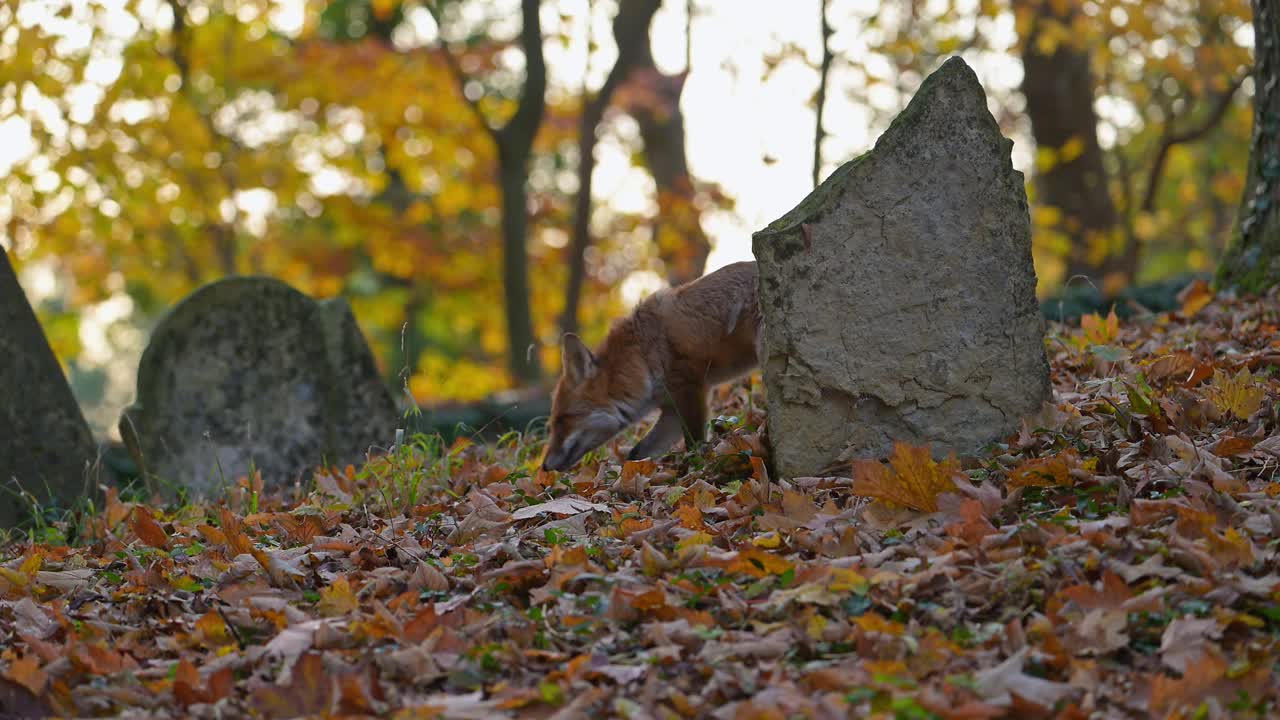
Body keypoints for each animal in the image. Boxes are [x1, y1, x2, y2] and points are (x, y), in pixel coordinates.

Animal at [540, 257, 757, 471]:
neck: (641, 357)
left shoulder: (691, 389)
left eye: (562, 420)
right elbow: (637, 453)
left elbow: (693, 444)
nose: (544, 467)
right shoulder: (671, 409)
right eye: (552, 425)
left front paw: (696, 469)